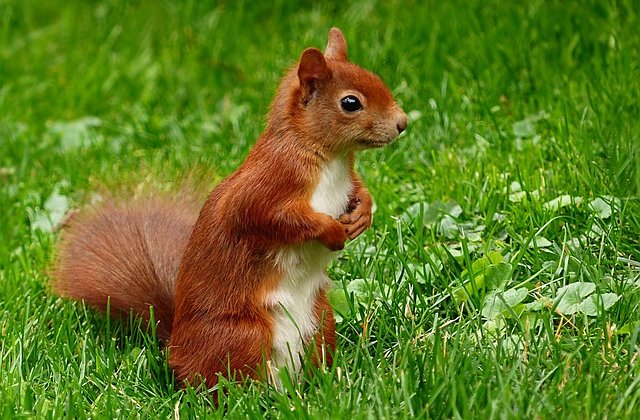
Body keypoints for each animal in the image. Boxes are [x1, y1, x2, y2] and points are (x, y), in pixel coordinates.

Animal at [52, 26, 408, 388]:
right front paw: (332, 230)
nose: (403, 123)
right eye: (350, 102)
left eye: (377, 78)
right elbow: (270, 218)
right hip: (242, 336)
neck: (330, 158)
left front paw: (362, 214)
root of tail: (175, 346)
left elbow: (359, 191)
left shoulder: (345, 179)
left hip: (322, 322)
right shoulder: (266, 185)